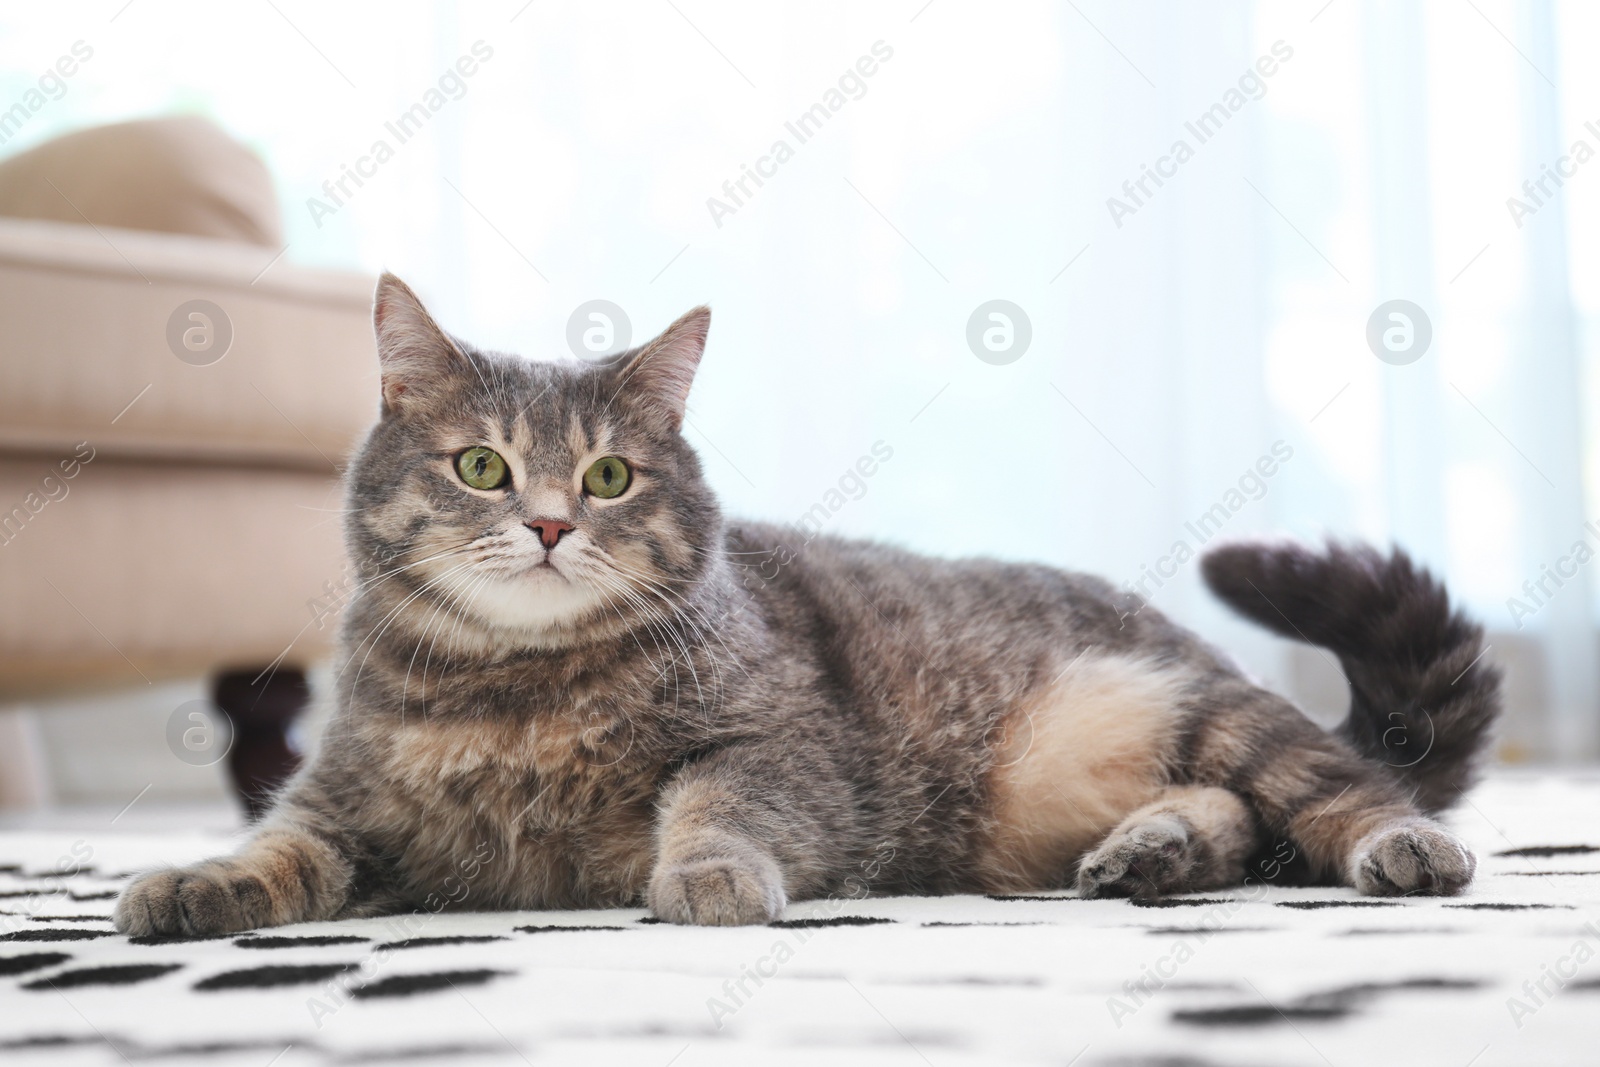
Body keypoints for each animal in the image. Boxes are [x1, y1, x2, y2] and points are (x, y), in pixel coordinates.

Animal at [116, 278, 1497, 934]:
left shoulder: (782, 744)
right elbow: (276, 843)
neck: (517, 692)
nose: (553, 523)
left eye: (608, 475)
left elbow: (719, 804)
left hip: (1203, 704)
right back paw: (1148, 849)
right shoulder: (341, 798)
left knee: (1333, 788)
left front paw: (708, 873)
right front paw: (194, 880)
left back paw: (1389, 846)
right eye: (482, 465)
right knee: (1232, 814)